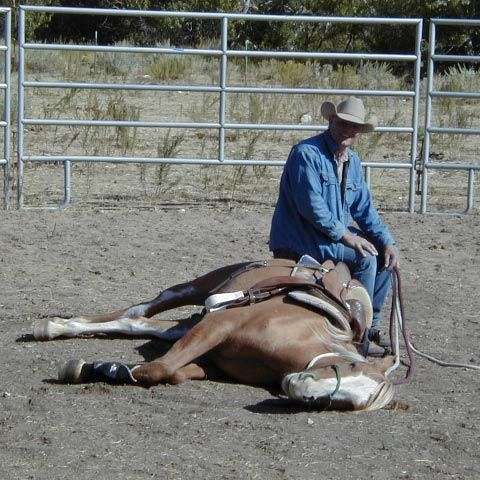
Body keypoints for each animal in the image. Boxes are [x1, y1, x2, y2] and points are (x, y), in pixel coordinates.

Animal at [32, 256, 394, 410]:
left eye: (353, 403)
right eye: (351, 366)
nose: (297, 388)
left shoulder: (212, 360)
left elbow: (170, 372)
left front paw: (107, 368)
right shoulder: (220, 325)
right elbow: (159, 368)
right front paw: (106, 369)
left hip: (188, 323)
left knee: (142, 325)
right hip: (194, 288)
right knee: (137, 312)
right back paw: (49, 326)